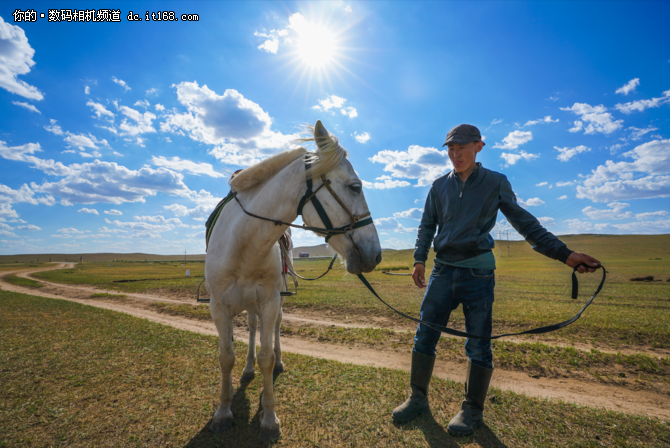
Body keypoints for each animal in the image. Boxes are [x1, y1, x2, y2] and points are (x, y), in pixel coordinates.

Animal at [205, 119, 384, 440]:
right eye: (355, 187)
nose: (375, 254)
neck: (242, 245)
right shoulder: (219, 308)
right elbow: (226, 357)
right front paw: (223, 413)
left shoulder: (270, 302)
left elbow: (266, 357)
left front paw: (269, 419)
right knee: (252, 328)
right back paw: (247, 369)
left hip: (274, 300)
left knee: (273, 329)